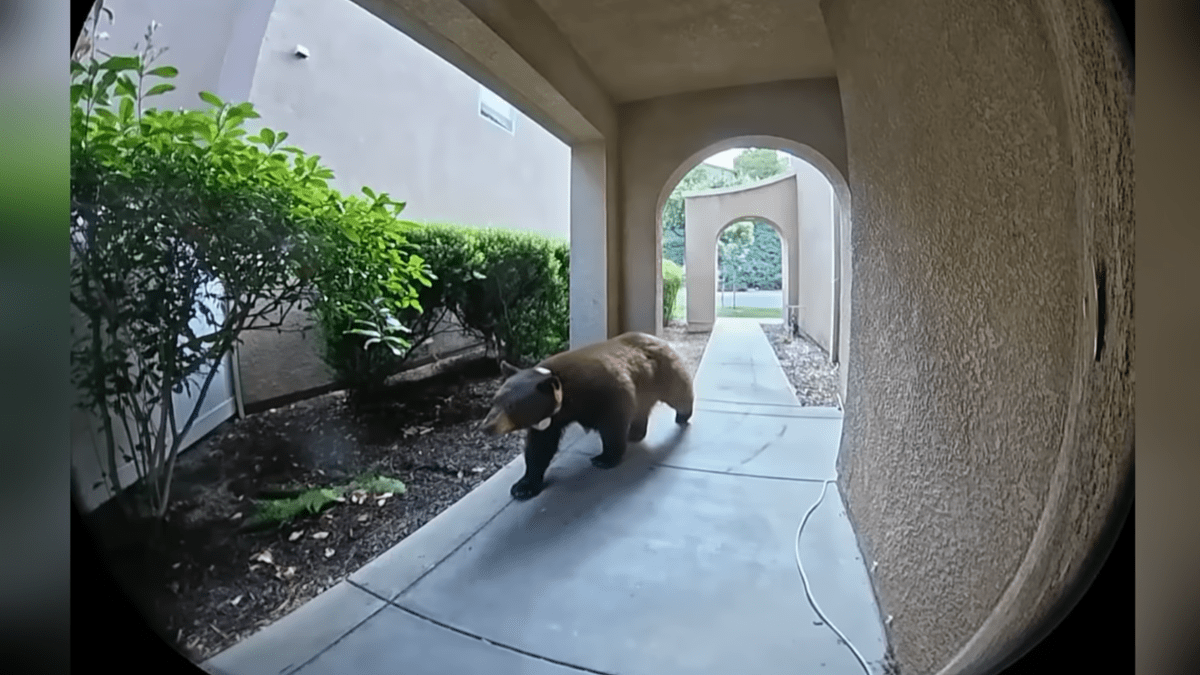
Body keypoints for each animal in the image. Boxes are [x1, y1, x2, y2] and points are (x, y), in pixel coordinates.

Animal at [478, 331, 695, 500]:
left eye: (511, 406)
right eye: (494, 401)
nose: (486, 427)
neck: (567, 395)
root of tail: (660, 340)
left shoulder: (607, 392)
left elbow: (612, 425)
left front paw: (604, 459)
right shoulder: (551, 420)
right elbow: (540, 448)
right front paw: (523, 486)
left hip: (664, 374)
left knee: (680, 392)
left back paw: (682, 415)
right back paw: (635, 434)